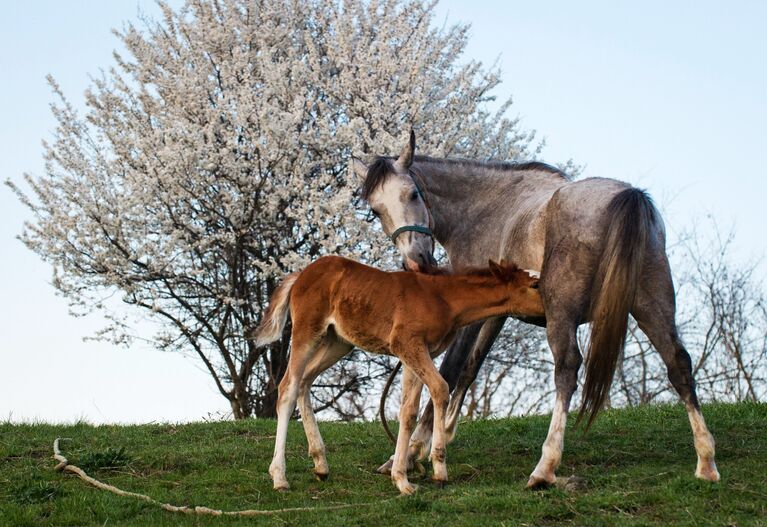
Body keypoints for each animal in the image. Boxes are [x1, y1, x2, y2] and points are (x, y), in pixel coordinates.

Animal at [255, 256, 544, 496]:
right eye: (535, 284)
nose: (550, 310)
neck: (444, 299)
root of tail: (300, 274)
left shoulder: (413, 355)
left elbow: (408, 411)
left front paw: (402, 478)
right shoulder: (407, 344)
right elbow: (441, 388)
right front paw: (438, 470)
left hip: (337, 341)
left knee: (305, 381)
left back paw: (320, 464)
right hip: (307, 330)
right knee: (288, 387)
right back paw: (279, 477)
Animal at [354, 131, 720, 486]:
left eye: (414, 194)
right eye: (376, 210)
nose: (417, 262)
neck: (490, 209)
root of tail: (627, 196)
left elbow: (450, 369)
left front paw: (412, 451)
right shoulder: (494, 314)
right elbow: (471, 367)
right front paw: (441, 435)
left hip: (563, 313)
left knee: (567, 369)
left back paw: (545, 467)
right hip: (653, 306)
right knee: (678, 363)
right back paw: (706, 461)